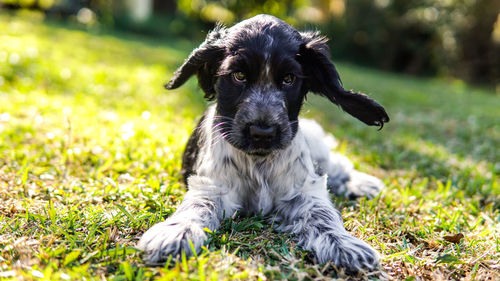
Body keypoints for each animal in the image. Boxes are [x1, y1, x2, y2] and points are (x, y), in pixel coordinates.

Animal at [138, 14, 390, 272]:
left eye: (289, 79)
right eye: (239, 76)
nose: (262, 132)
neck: (259, 161)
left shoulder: (304, 189)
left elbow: (322, 213)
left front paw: (343, 244)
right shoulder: (213, 186)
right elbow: (197, 205)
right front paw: (177, 233)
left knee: (335, 163)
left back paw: (362, 183)